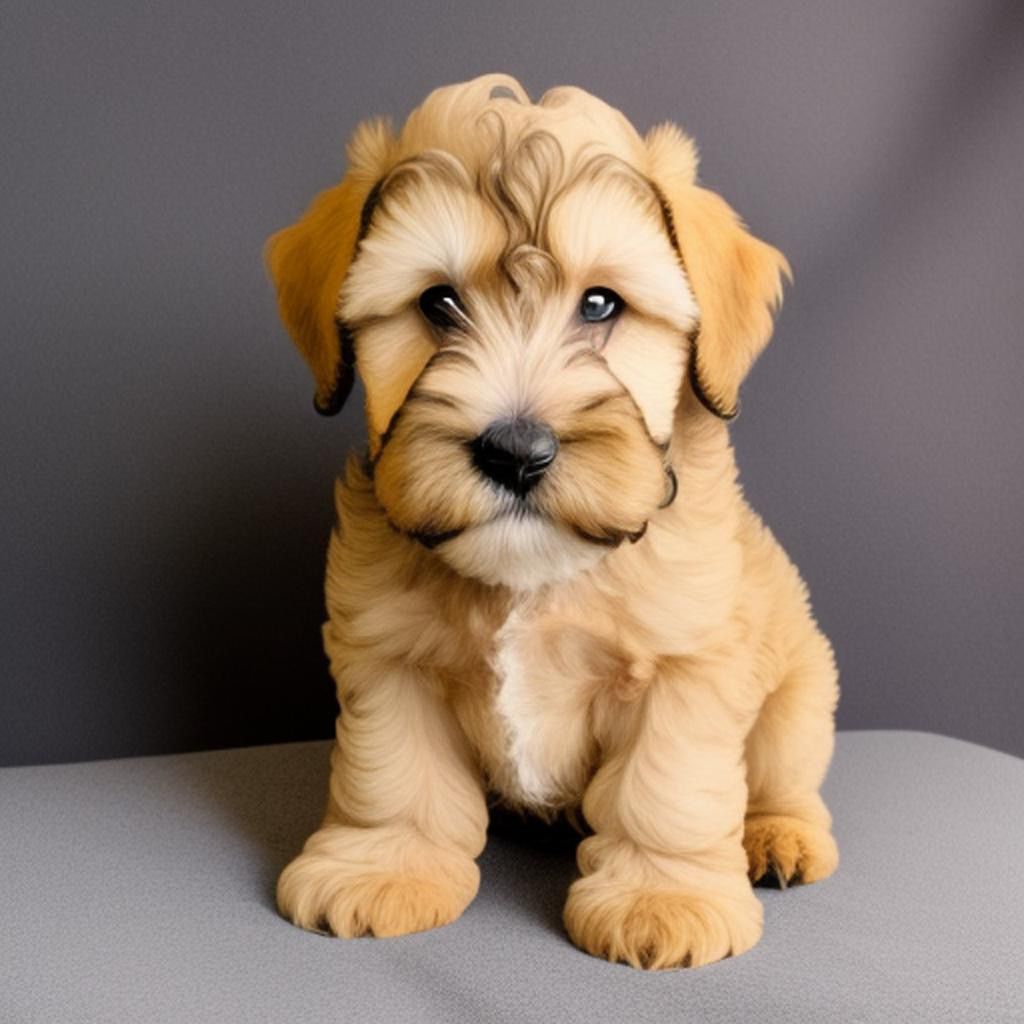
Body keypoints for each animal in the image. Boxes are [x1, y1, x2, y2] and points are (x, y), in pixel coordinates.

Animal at [266, 72, 839, 966]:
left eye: (600, 304)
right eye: (439, 303)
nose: (516, 452)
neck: (535, 578)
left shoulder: (687, 663)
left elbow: (667, 786)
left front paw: (664, 895)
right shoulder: (390, 654)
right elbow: (395, 771)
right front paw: (384, 865)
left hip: (798, 699)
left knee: (784, 777)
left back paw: (779, 835)